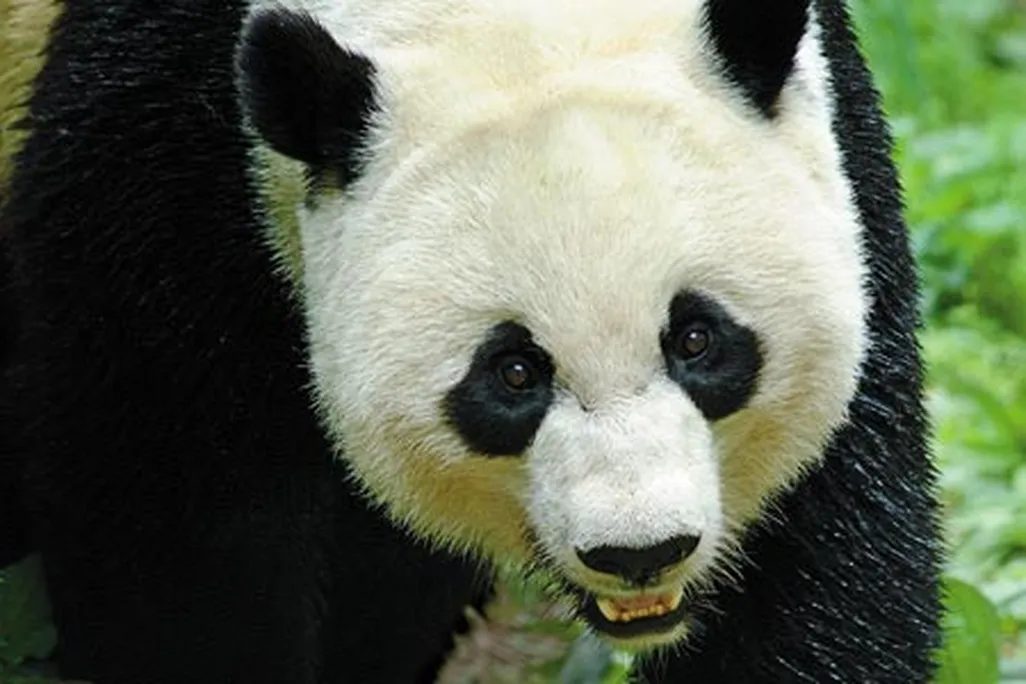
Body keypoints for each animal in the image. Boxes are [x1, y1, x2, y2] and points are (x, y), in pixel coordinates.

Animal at [0, 0, 943, 682]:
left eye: (698, 341)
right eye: (514, 372)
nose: (640, 552)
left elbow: (817, 558)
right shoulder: (154, 179)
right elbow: (187, 554)